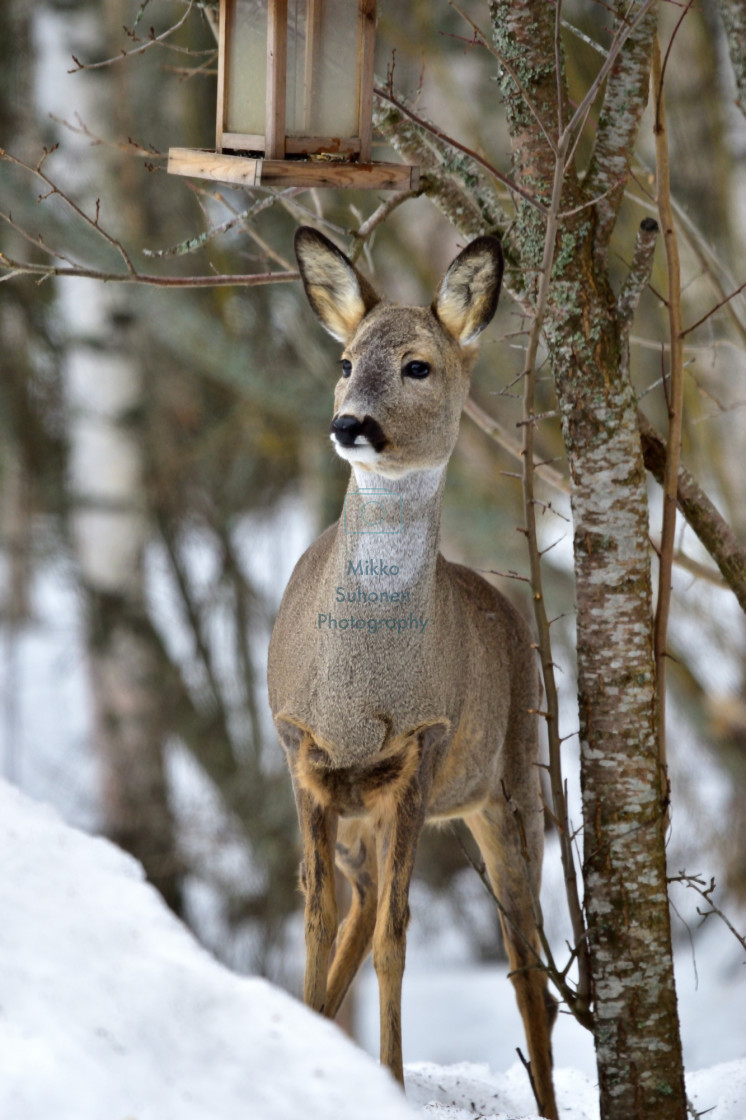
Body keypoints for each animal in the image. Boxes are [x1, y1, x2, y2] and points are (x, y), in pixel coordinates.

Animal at [268, 227, 557, 1120]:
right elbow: (319, 917)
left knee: (527, 965)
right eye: (344, 360)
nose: (349, 423)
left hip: (512, 786)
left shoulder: (423, 745)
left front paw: (390, 1080)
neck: (361, 692)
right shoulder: (301, 747)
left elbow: (398, 938)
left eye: (418, 366)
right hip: (360, 811)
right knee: (358, 907)